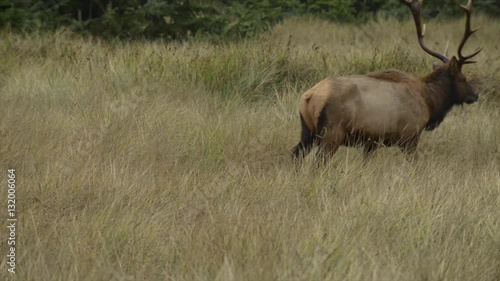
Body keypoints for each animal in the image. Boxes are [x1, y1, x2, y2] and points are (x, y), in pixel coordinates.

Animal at [292, 0, 482, 163]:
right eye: (463, 78)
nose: (475, 95)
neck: (429, 101)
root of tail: (309, 97)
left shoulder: (372, 142)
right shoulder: (409, 135)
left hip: (307, 131)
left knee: (296, 153)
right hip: (332, 133)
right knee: (318, 161)